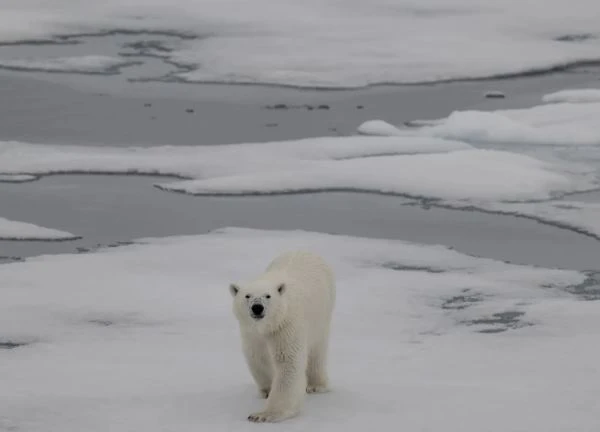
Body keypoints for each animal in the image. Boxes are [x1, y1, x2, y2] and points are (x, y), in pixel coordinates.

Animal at [229, 250, 336, 422]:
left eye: (268, 296)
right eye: (247, 296)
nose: (257, 307)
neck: (268, 325)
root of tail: (305, 251)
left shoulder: (286, 326)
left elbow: (288, 362)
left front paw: (263, 415)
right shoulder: (251, 333)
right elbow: (257, 356)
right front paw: (266, 390)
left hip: (323, 311)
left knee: (317, 348)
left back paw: (316, 385)